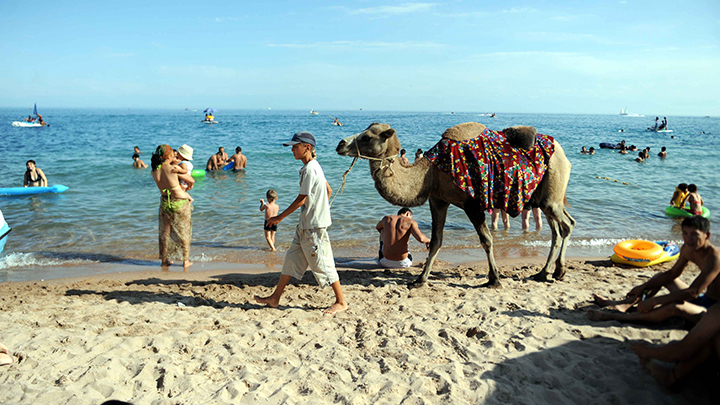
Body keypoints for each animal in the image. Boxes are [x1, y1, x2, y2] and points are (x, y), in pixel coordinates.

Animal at [334, 121, 576, 286]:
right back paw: (544, 273)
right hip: (543, 200)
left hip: (552, 190)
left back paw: (559, 271)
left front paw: (494, 279)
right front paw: (420, 280)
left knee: (567, 225)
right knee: (557, 228)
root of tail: (563, 153)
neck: (430, 173)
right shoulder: (438, 200)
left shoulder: (472, 203)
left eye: (367, 137)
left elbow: (486, 239)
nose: (340, 143)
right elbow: (436, 241)